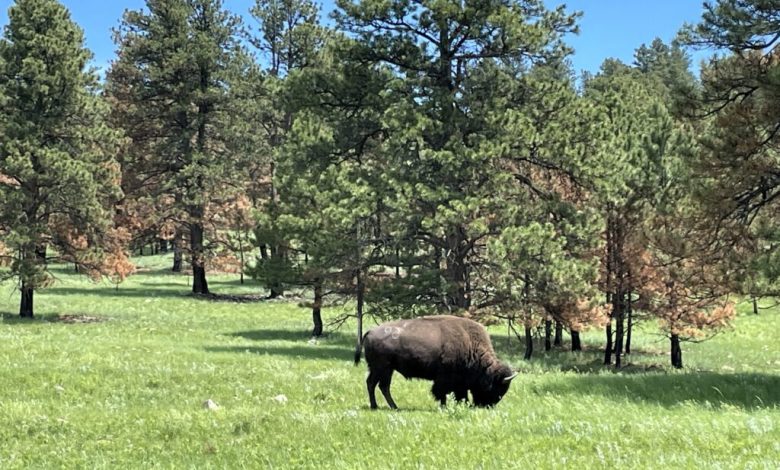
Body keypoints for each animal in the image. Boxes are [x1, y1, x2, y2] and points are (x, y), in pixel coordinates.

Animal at [354, 315, 517, 409]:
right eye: (495, 387)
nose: (486, 406)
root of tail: (370, 331)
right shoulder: (445, 379)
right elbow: (442, 392)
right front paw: (444, 406)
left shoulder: (460, 382)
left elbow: (459, 394)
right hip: (382, 369)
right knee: (376, 384)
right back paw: (381, 406)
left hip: (385, 369)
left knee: (379, 385)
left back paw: (390, 406)